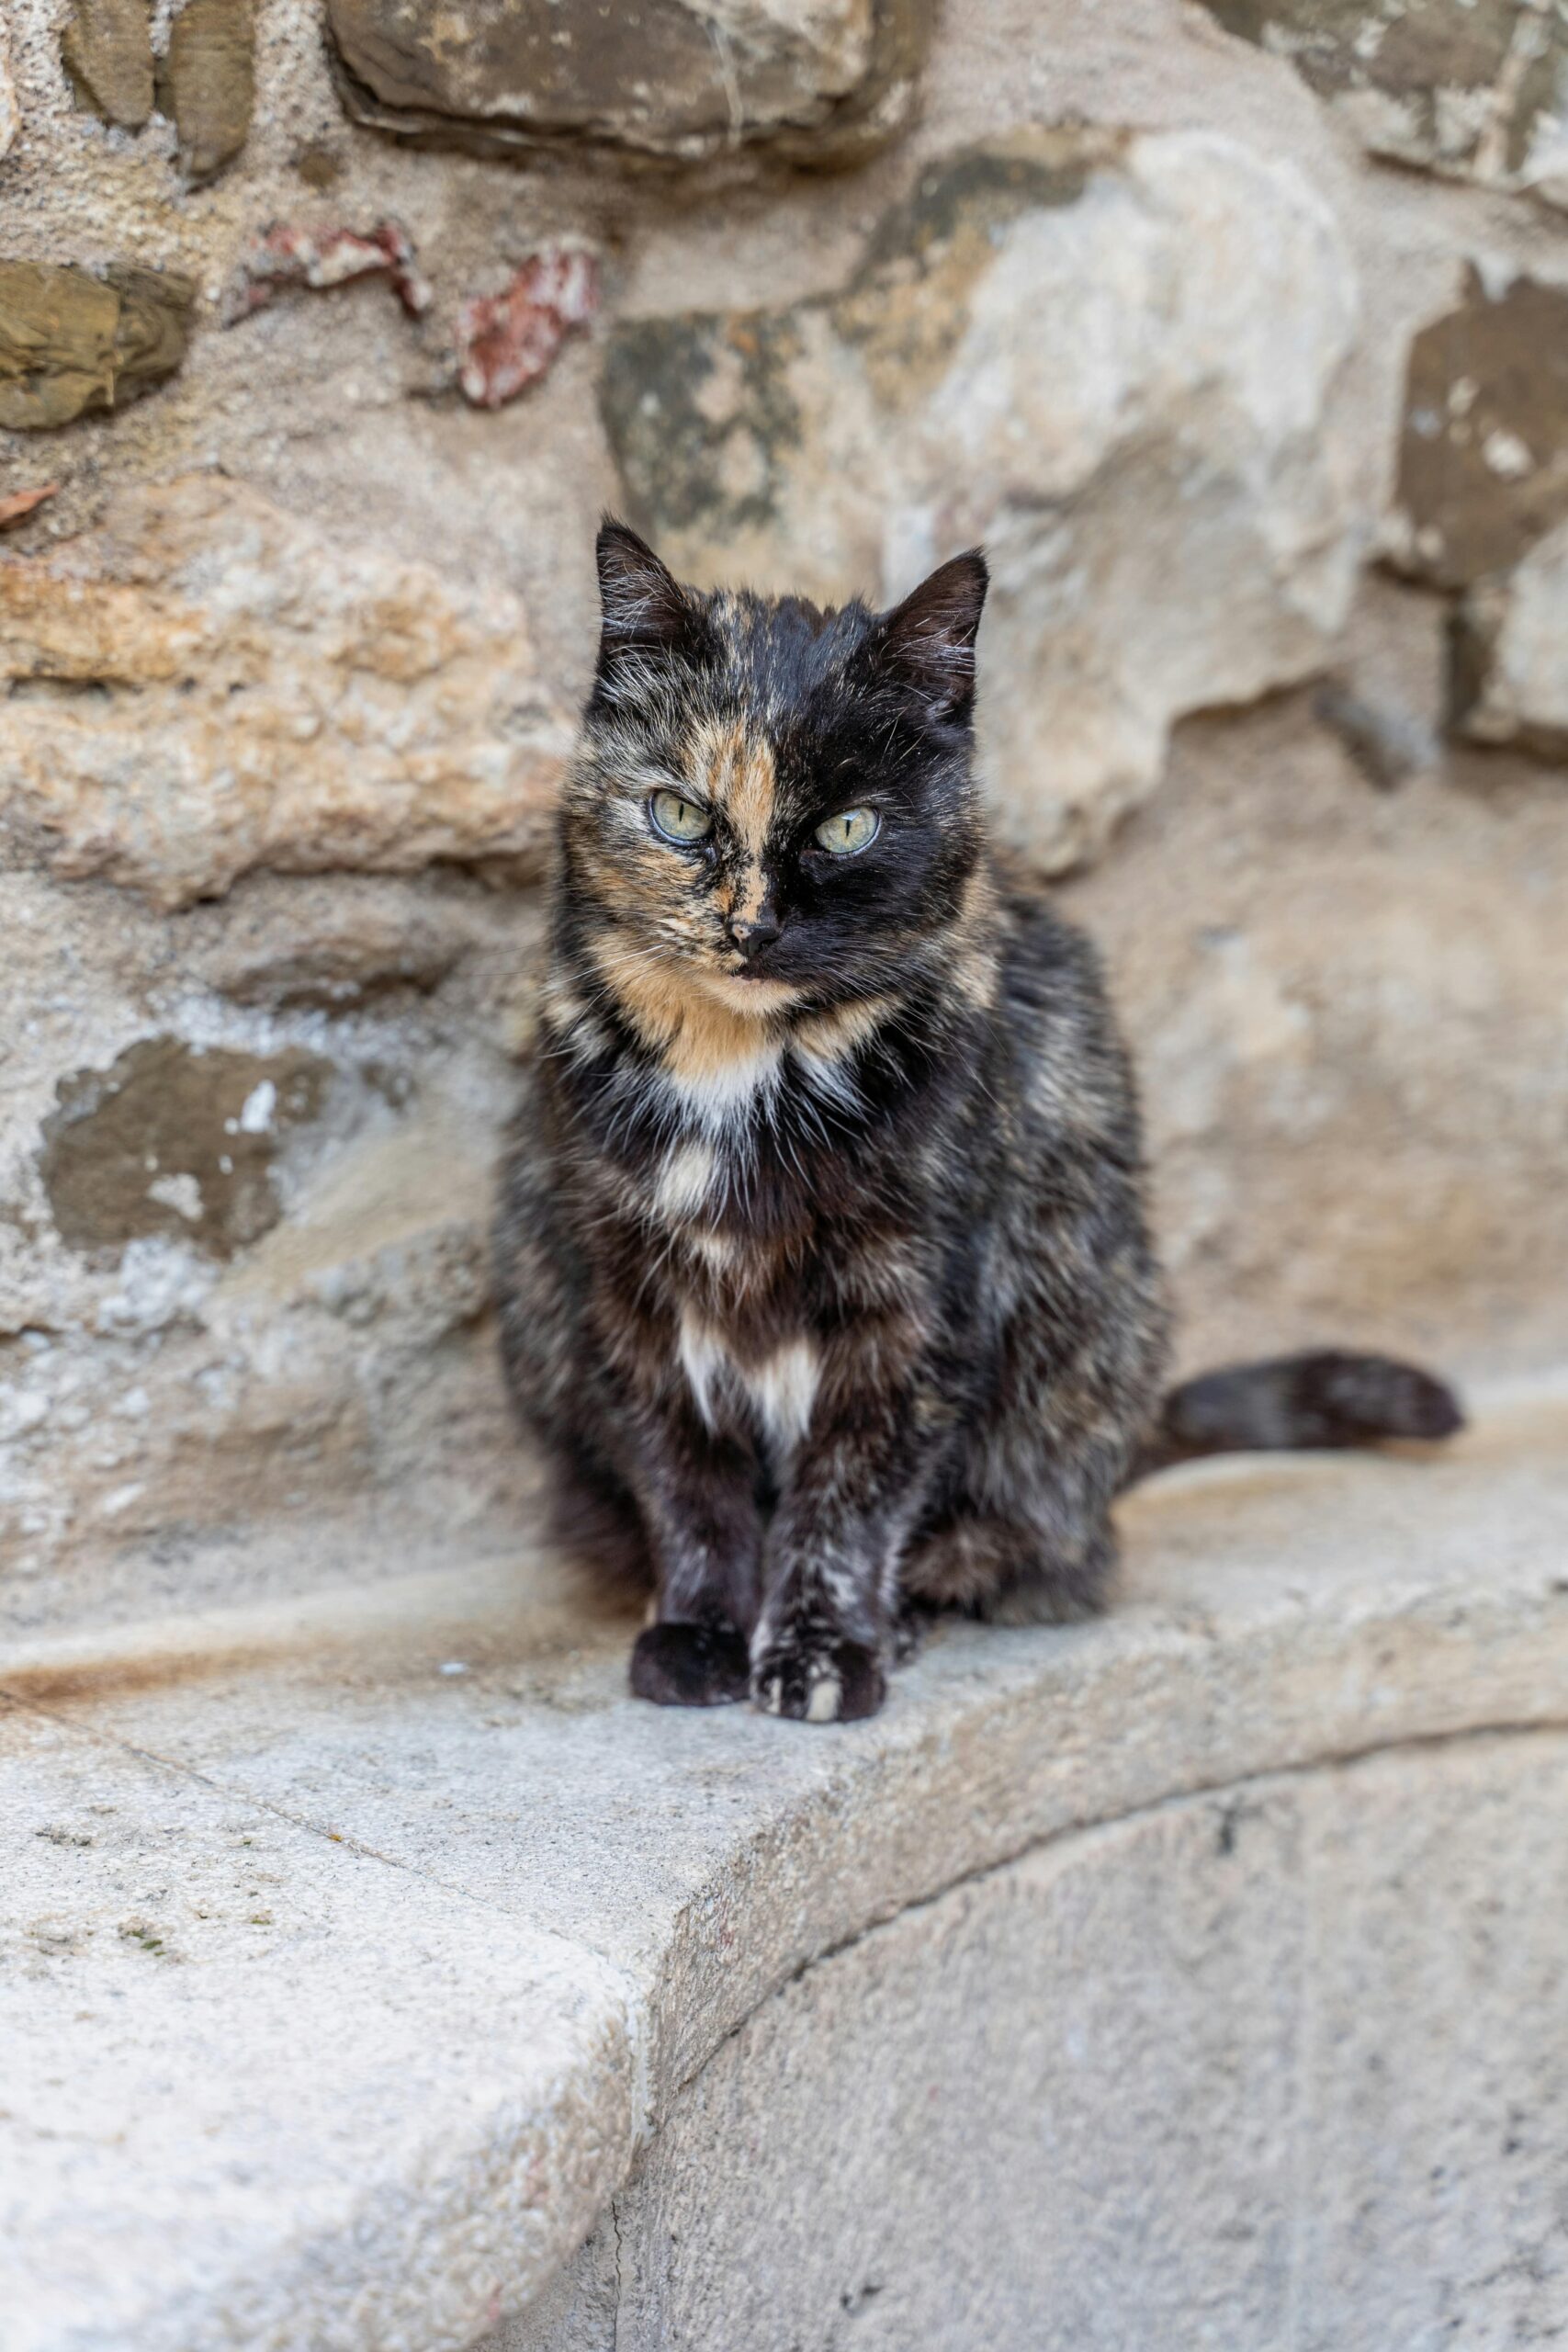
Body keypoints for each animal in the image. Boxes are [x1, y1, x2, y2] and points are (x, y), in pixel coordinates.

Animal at [495, 524, 1466, 1721]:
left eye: (849, 828)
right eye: (678, 814)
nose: (749, 926)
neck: (739, 1073)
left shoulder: (918, 1308)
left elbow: (847, 1499)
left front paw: (819, 1654)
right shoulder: (622, 1292)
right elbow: (686, 1475)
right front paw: (699, 1632)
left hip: (1078, 1355)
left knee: (1013, 1545)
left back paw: (911, 1616)